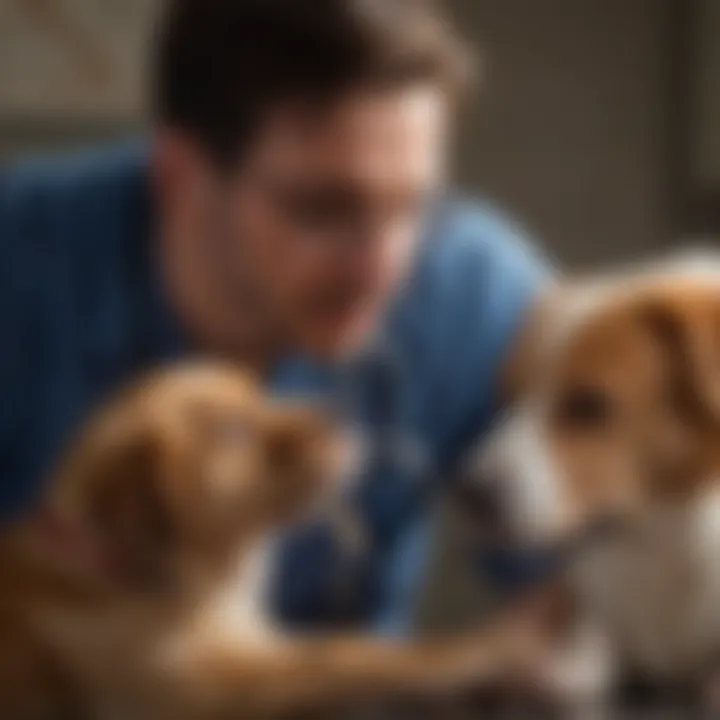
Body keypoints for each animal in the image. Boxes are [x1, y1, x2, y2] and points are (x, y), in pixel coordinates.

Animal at [0, 366, 544, 720]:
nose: (342, 412)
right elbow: (348, 652)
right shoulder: (200, 693)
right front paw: (477, 650)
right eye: (231, 431)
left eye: (258, 394)